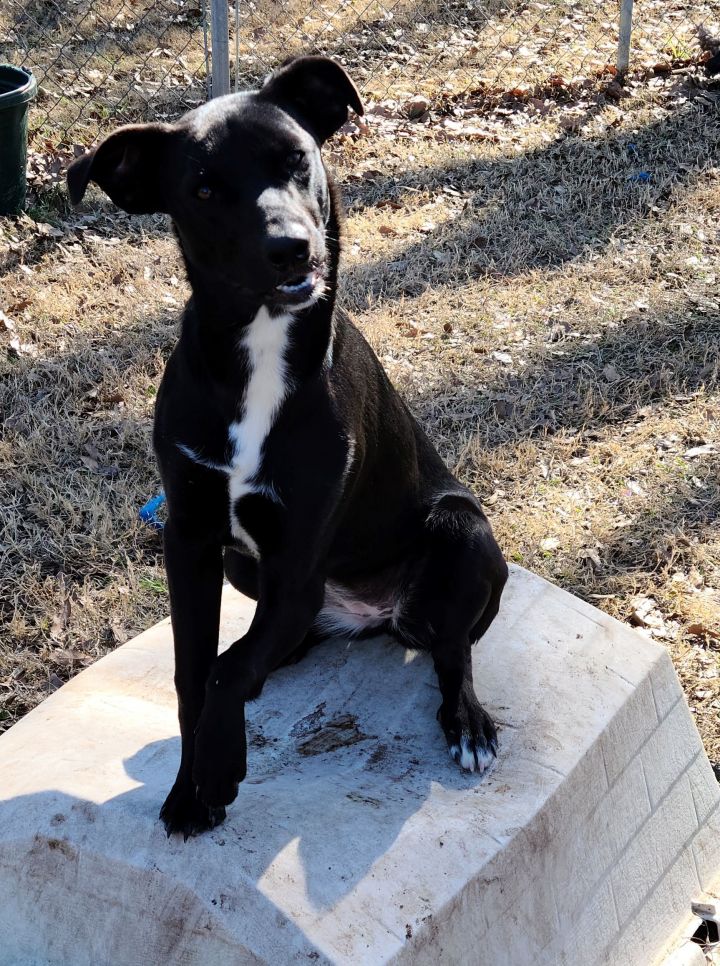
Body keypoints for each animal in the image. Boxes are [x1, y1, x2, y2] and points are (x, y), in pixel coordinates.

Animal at [66, 54, 506, 840]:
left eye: (298, 159)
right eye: (204, 189)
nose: (292, 247)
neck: (262, 350)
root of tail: (376, 615)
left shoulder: (297, 558)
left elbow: (224, 670)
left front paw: (215, 770)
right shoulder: (190, 537)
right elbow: (195, 670)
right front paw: (193, 786)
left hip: (462, 532)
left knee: (451, 647)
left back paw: (468, 723)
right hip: (245, 568)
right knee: (279, 641)